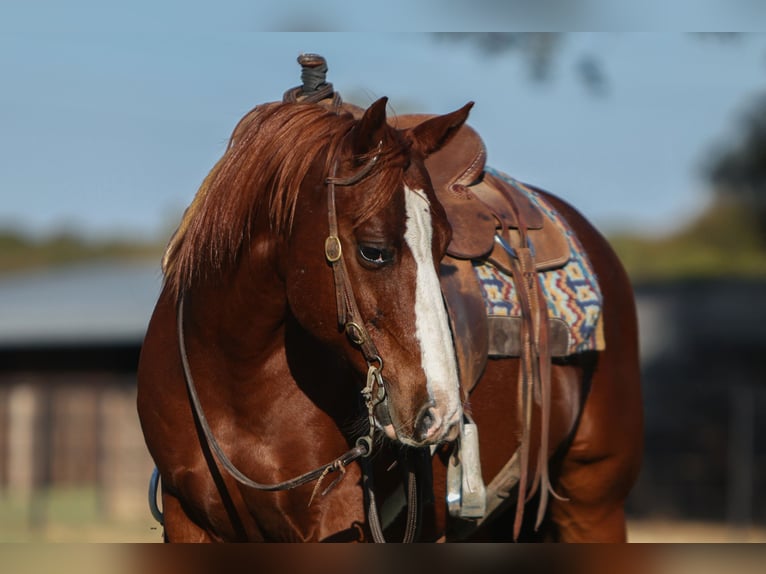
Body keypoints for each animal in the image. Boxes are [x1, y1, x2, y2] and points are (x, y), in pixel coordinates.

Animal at [137, 70, 642, 542]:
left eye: (444, 246)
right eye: (373, 251)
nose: (439, 414)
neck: (236, 378)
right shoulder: (189, 521)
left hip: (594, 503)